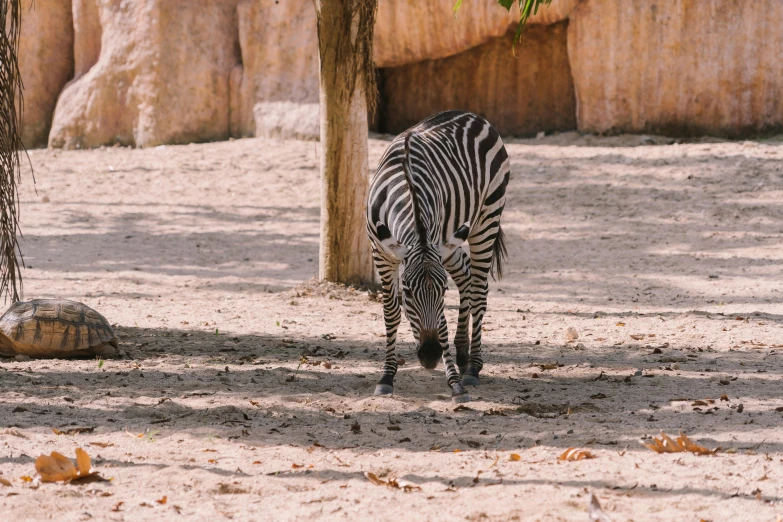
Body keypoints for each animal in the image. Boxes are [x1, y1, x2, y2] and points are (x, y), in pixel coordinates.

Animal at [366, 110, 512, 402]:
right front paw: (386, 376)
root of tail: (471, 114)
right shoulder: (381, 252)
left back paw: (473, 368)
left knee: (478, 289)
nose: (430, 355)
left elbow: (441, 321)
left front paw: (455, 383)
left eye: (444, 291)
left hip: (487, 217)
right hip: (449, 244)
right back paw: (463, 353)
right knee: (467, 276)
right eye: (407, 292)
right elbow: (391, 312)